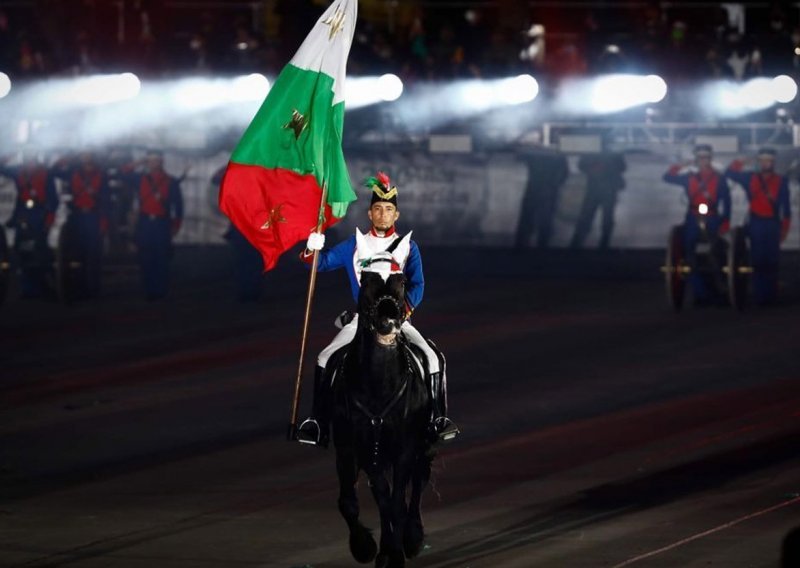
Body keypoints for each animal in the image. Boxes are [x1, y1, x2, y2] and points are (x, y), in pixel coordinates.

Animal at [328, 262, 434, 568]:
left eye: (402, 283)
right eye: (365, 283)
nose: (388, 323)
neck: (379, 382)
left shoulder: (405, 448)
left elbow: (397, 501)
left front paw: (397, 551)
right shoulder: (360, 447)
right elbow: (370, 499)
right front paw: (367, 547)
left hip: (424, 446)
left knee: (419, 481)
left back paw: (412, 538)